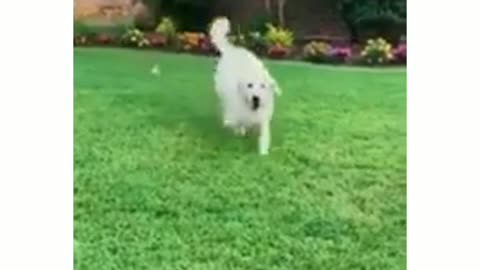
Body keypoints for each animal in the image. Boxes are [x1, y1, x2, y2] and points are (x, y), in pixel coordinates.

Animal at [209, 16, 282, 155]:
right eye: (249, 85)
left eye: (263, 86)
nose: (256, 98)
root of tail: (232, 50)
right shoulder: (236, 111)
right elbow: (235, 123)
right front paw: (237, 129)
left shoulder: (263, 119)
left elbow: (263, 136)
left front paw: (263, 153)